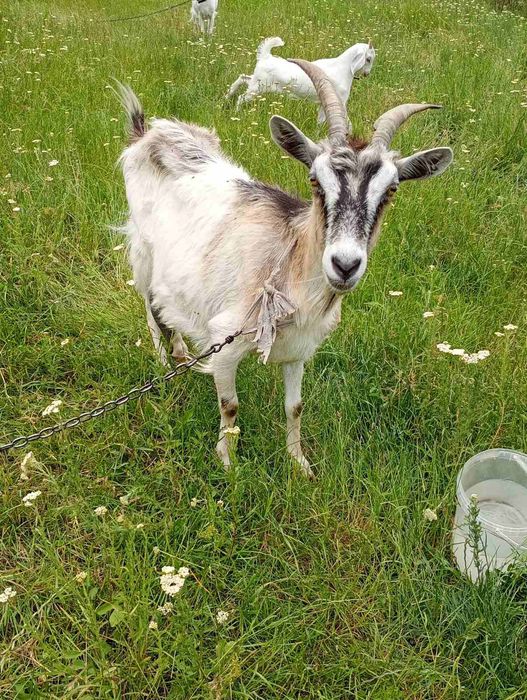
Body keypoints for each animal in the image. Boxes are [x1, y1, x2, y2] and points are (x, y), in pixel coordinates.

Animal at [117, 63, 452, 477]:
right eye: (315, 181)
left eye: (391, 190)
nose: (344, 264)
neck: (286, 268)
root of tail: (148, 132)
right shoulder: (224, 342)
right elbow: (231, 407)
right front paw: (228, 463)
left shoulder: (299, 352)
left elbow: (295, 407)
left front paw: (300, 464)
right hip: (142, 248)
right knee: (148, 304)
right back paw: (164, 361)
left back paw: (180, 355)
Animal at [225, 37, 376, 124]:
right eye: (368, 59)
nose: (367, 74)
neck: (342, 68)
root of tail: (266, 57)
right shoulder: (340, 101)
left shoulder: (323, 103)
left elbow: (321, 121)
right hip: (257, 88)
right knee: (241, 97)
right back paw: (236, 112)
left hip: (256, 83)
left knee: (242, 78)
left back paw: (227, 96)